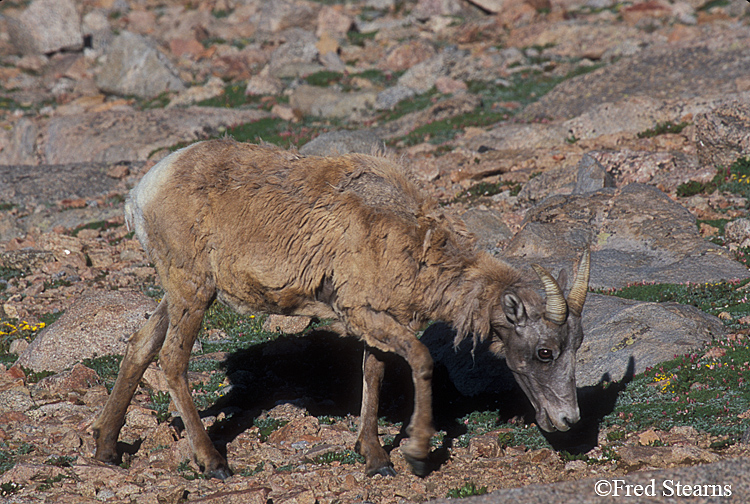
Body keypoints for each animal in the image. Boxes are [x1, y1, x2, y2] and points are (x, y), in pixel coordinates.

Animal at [92, 138, 590, 479]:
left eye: (576, 345)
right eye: (545, 352)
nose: (568, 420)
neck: (414, 240)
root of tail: (140, 196)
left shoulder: (379, 319)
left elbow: (374, 373)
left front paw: (374, 458)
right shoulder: (362, 313)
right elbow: (420, 360)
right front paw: (414, 454)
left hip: (181, 291)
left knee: (140, 345)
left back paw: (106, 450)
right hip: (192, 290)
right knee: (172, 359)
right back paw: (213, 462)